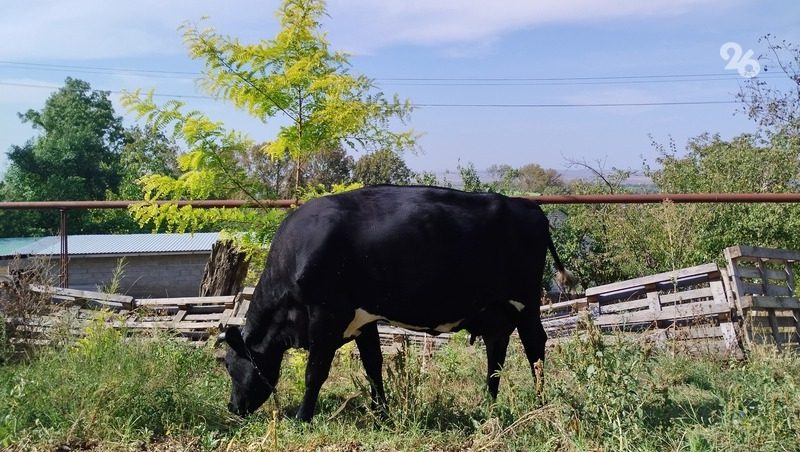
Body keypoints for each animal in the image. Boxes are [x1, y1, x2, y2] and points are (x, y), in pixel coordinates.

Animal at [216, 184, 572, 420]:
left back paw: (540, 404)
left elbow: (315, 372)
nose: (233, 408)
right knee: (496, 353)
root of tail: (529, 206)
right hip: (498, 312)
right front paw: (381, 413)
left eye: (231, 366)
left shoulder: (326, 318)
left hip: (526, 302)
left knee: (535, 347)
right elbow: (373, 365)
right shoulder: (363, 320)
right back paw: (488, 406)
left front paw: (303, 417)